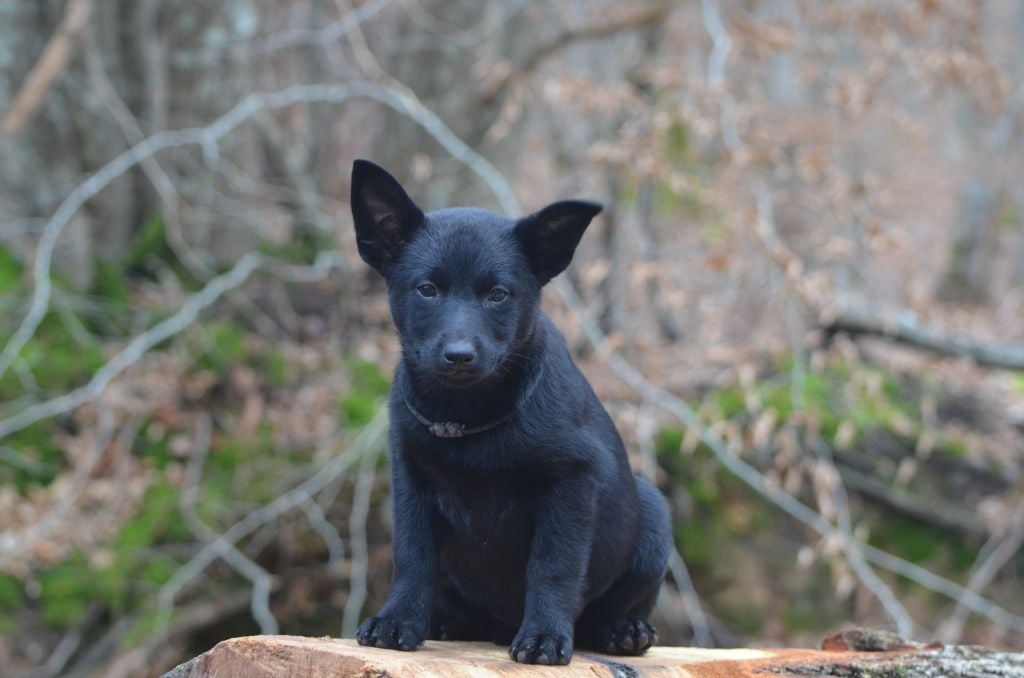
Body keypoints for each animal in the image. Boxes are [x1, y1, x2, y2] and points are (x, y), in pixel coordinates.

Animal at [352, 160, 671, 667]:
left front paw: (543, 636)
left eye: (498, 294)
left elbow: (553, 566)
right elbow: (413, 555)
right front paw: (397, 621)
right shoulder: (410, 476)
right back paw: (448, 622)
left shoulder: (573, 481)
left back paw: (624, 631)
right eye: (427, 290)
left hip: (653, 512)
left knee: (618, 605)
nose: (459, 356)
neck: (465, 419)